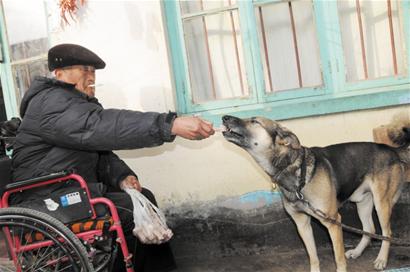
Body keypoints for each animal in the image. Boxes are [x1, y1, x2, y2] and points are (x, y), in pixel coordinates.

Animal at [223, 115, 408, 272]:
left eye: (254, 121)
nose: (225, 117)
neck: (295, 171)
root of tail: (391, 150)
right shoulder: (302, 224)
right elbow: (312, 257)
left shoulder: (333, 222)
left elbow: (338, 259)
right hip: (362, 202)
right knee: (369, 228)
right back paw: (357, 251)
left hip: (381, 203)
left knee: (387, 232)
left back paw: (381, 259)